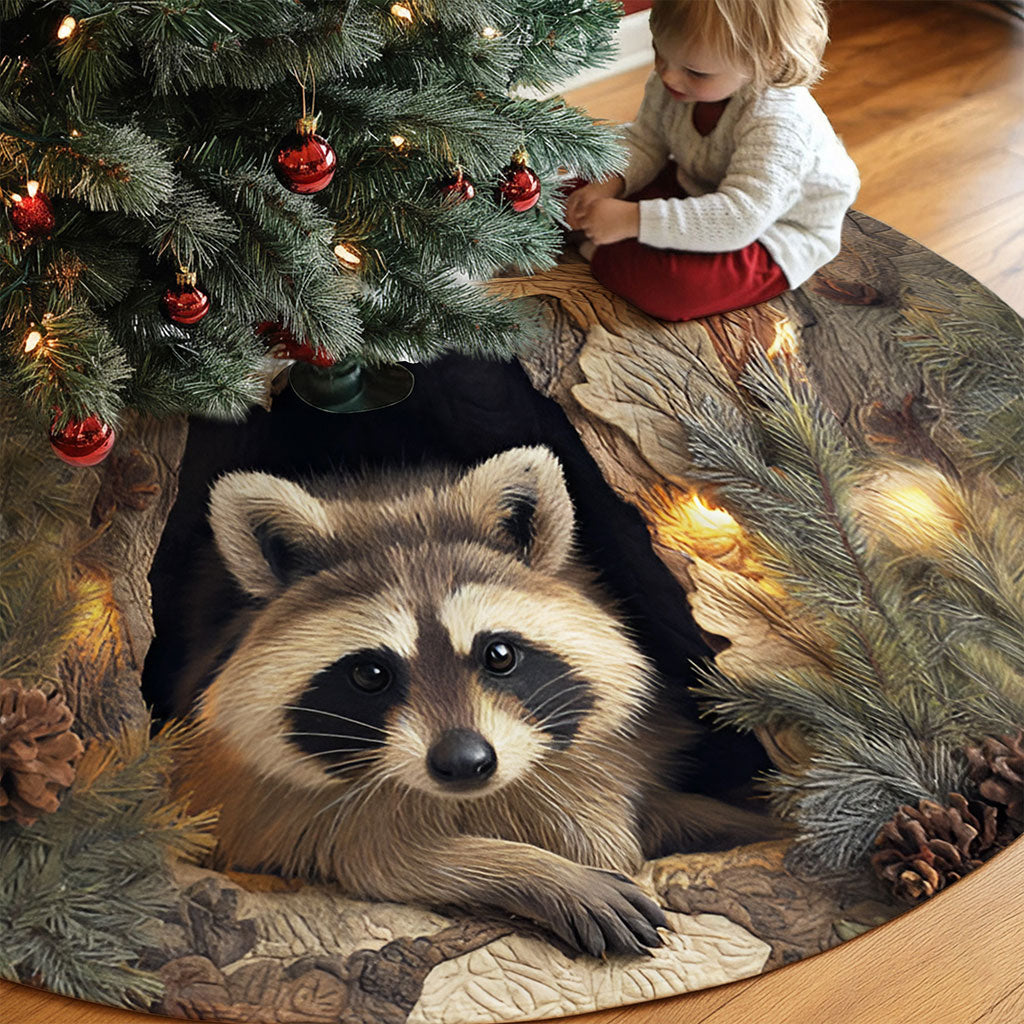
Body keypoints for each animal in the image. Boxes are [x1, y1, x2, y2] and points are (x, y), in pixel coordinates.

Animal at [175, 446, 773, 957]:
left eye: (499, 654)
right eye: (371, 674)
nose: (464, 763)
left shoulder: (612, 758)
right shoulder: (273, 802)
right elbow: (381, 861)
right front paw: (535, 870)